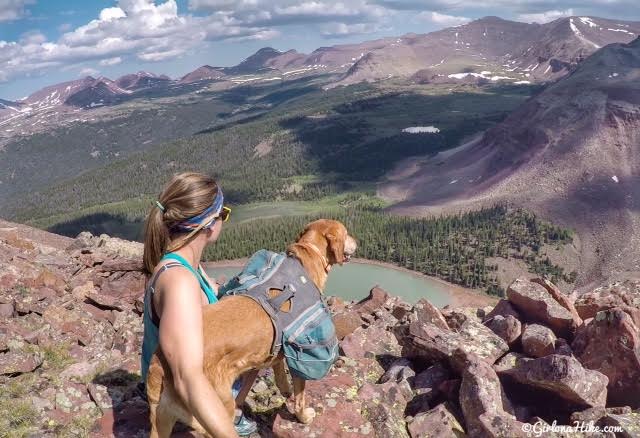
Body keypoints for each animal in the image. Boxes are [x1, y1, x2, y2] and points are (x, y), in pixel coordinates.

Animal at [146, 217, 358, 436]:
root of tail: (160, 366)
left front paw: (284, 387)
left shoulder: (278, 343)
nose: (357, 241)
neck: (310, 252)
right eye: (346, 233)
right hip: (217, 414)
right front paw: (304, 417)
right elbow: (300, 395)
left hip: (160, 421)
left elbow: (278, 365)